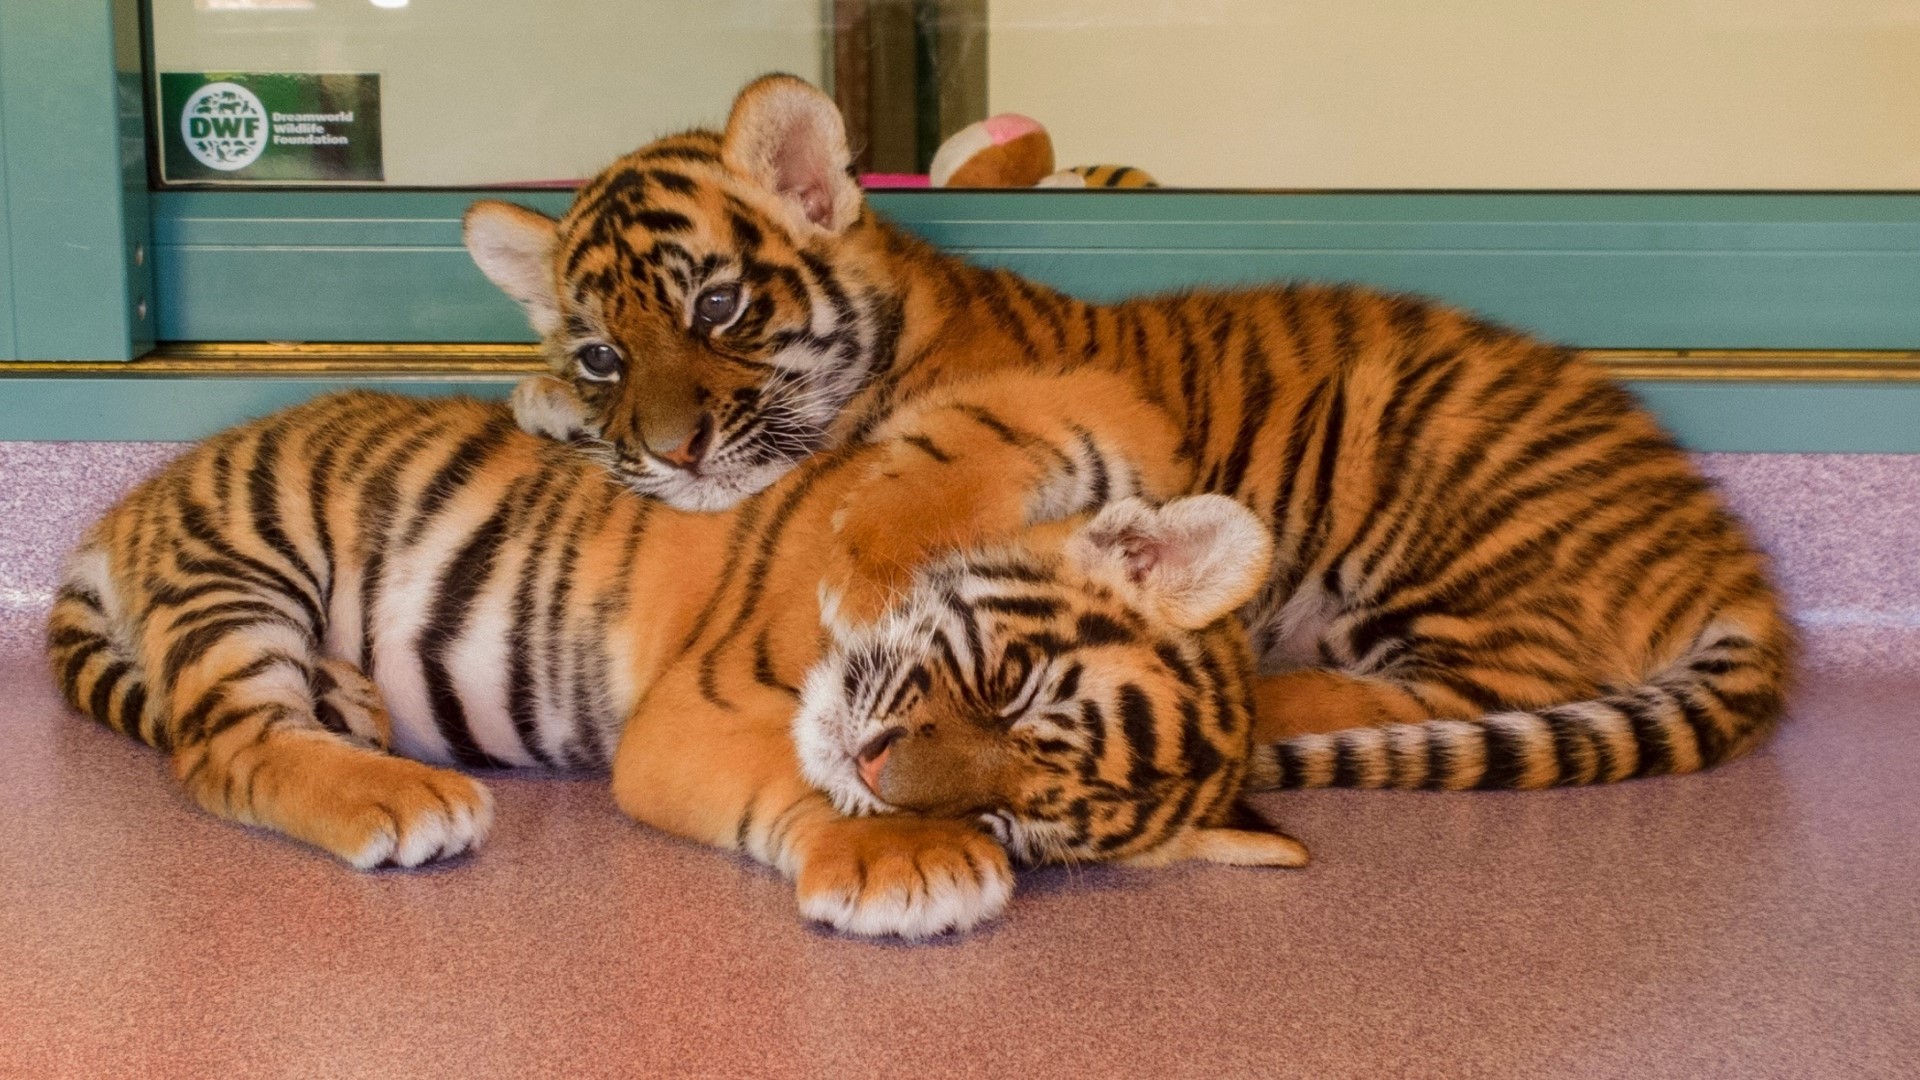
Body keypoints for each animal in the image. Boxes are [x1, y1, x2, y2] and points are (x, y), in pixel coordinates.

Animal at [46, 371, 1309, 941]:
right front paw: (902, 857)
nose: (882, 775)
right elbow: (975, 442)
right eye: (1004, 686)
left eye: (1006, 818)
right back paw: (399, 796)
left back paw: (349, 705)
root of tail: (125, 509)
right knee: (227, 749)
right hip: (248, 556)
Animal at [470, 73, 1792, 792]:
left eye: (717, 306)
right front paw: (543, 403)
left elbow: (944, 449)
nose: (671, 452)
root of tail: (1724, 551)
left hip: (1442, 535)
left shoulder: (1074, 400)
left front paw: (866, 560)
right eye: (603, 354)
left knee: (1487, 688)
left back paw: (1274, 690)